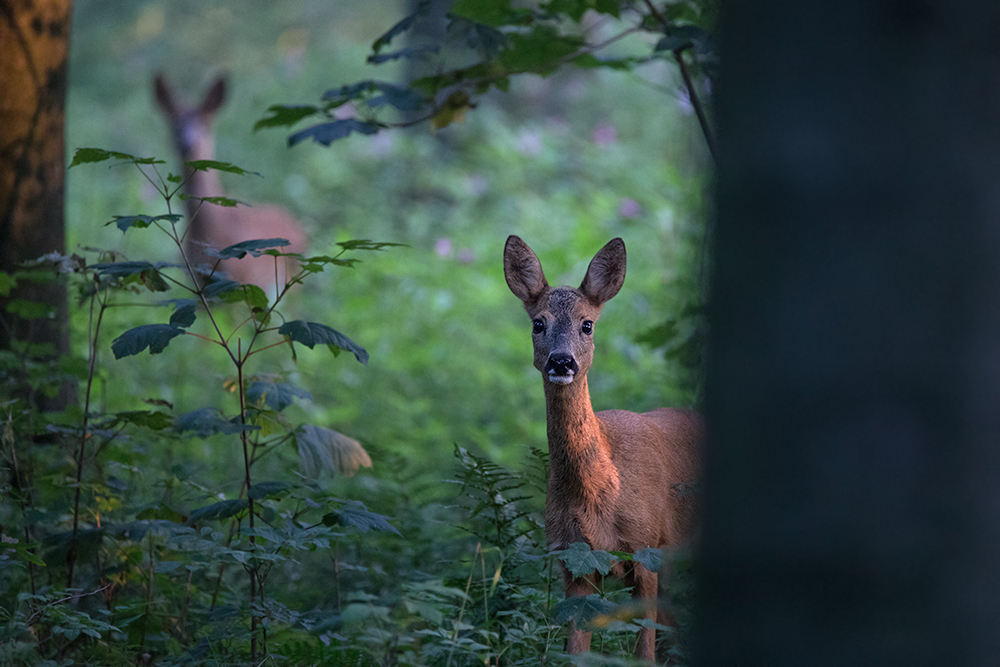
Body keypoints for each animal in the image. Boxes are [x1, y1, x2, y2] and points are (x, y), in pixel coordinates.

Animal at [500, 235, 704, 664]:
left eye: (587, 324)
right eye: (538, 322)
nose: (562, 361)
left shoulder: (646, 549)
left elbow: (645, 652)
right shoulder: (573, 559)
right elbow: (576, 652)